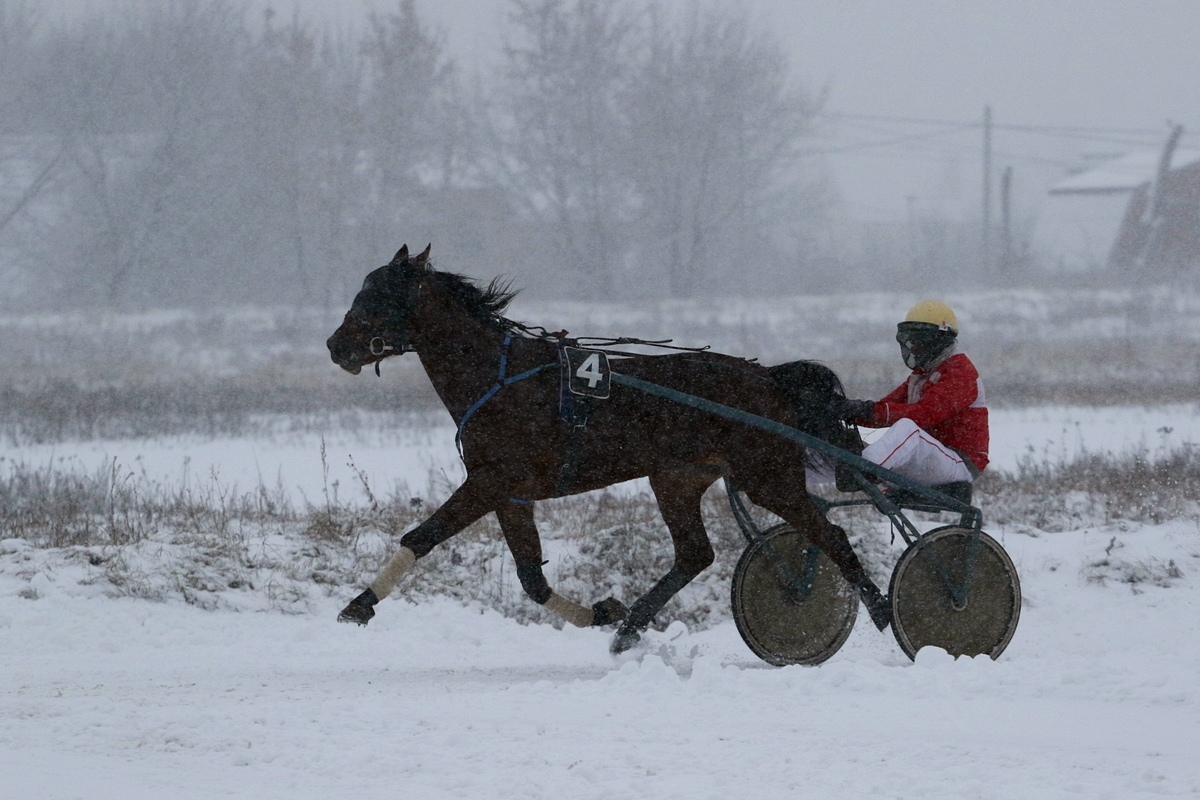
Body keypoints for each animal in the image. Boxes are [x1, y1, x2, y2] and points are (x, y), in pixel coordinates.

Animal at [328, 245, 892, 657]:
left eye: (376, 298)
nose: (336, 346)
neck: (498, 378)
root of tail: (770, 377)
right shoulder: (511, 495)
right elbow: (531, 579)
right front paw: (604, 612)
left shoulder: (489, 483)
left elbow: (422, 536)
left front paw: (358, 606)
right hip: (676, 478)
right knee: (695, 553)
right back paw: (630, 626)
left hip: (766, 476)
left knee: (830, 535)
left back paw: (883, 611)